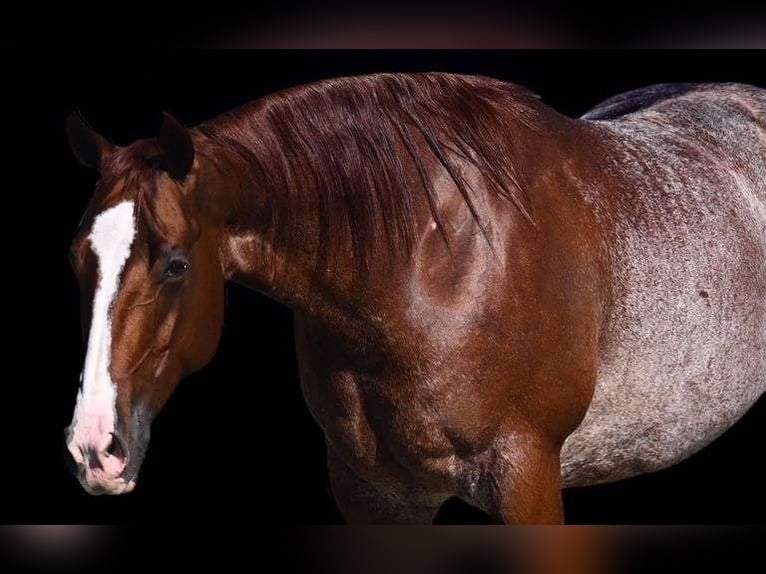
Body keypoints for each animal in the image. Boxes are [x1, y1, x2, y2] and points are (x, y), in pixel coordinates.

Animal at [64, 74, 765, 523]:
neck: (431, 268)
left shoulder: (529, 481)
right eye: (77, 261)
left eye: (176, 265)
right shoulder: (373, 495)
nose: (94, 447)